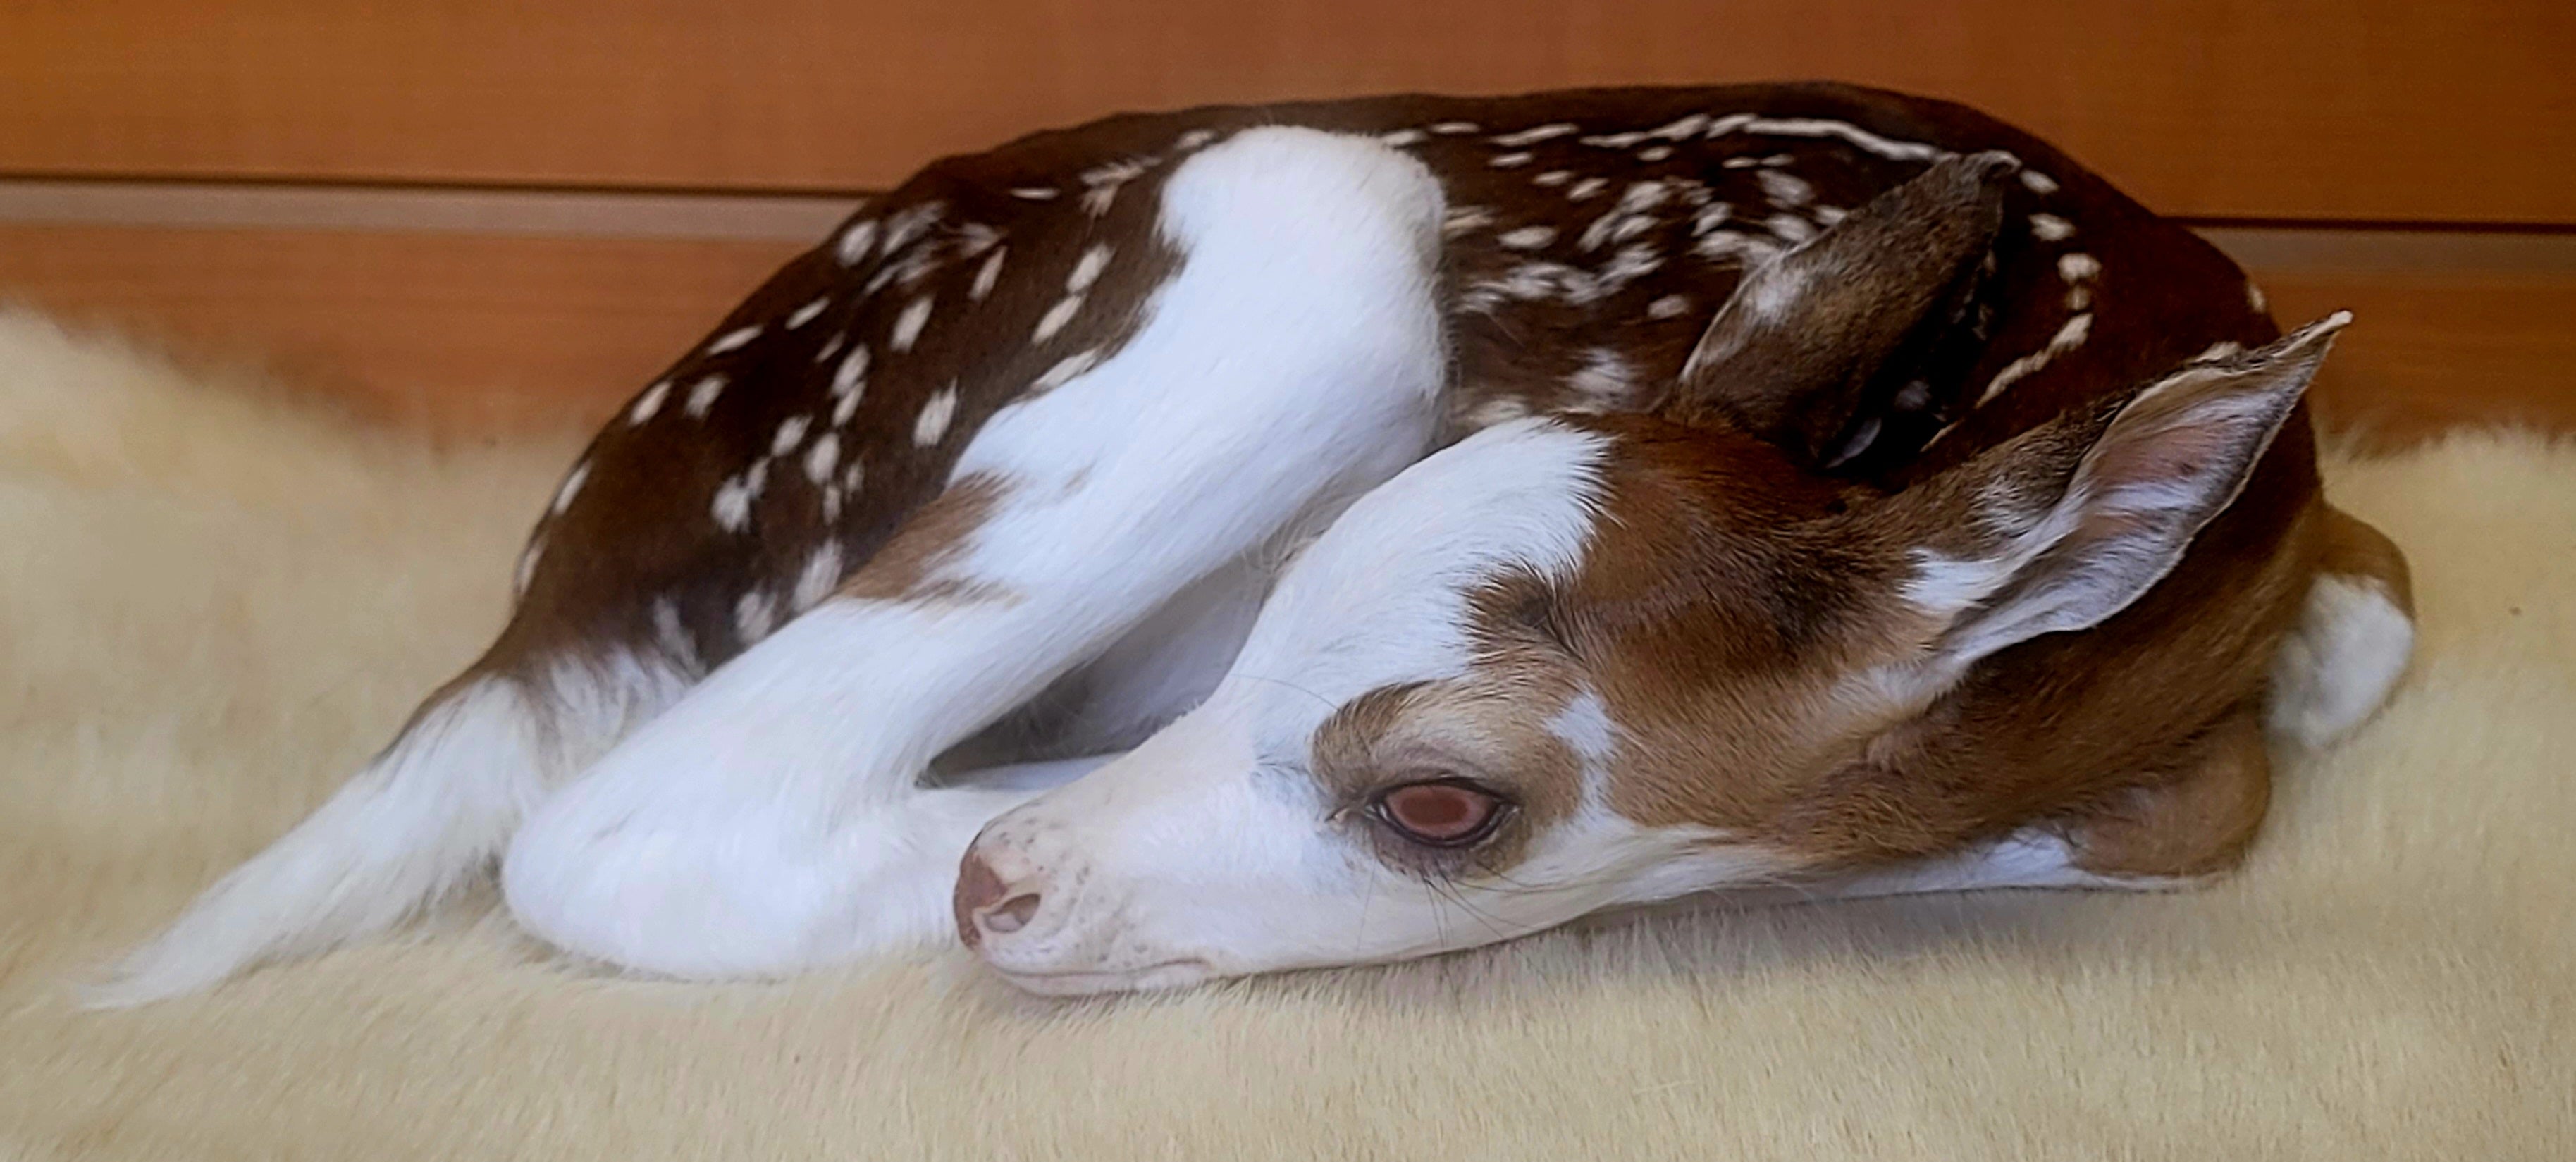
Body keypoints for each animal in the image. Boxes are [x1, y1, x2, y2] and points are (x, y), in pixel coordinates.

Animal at [93, 82, 2414, 1003]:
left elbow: (2328, 666)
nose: (1010, 890)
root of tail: (606, 531)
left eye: (1439, 797)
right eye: (1287, 607)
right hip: (1317, 227)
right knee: (630, 820)